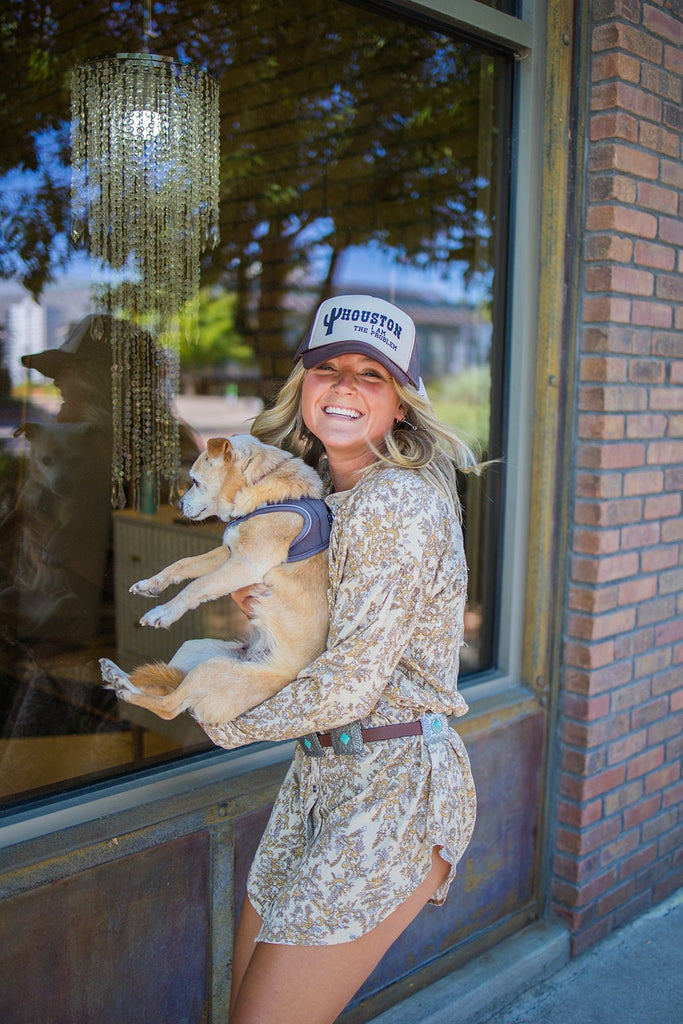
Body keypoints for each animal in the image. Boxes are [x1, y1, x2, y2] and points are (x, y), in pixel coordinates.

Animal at [98, 436, 331, 724]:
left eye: (195, 481)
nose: (177, 505)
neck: (259, 486)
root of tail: (251, 653)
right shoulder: (227, 553)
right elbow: (183, 564)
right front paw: (150, 584)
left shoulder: (244, 565)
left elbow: (196, 585)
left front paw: (162, 612)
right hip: (195, 650)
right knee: (166, 688)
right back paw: (117, 675)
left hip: (211, 670)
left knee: (169, 706)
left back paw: (124, 687)